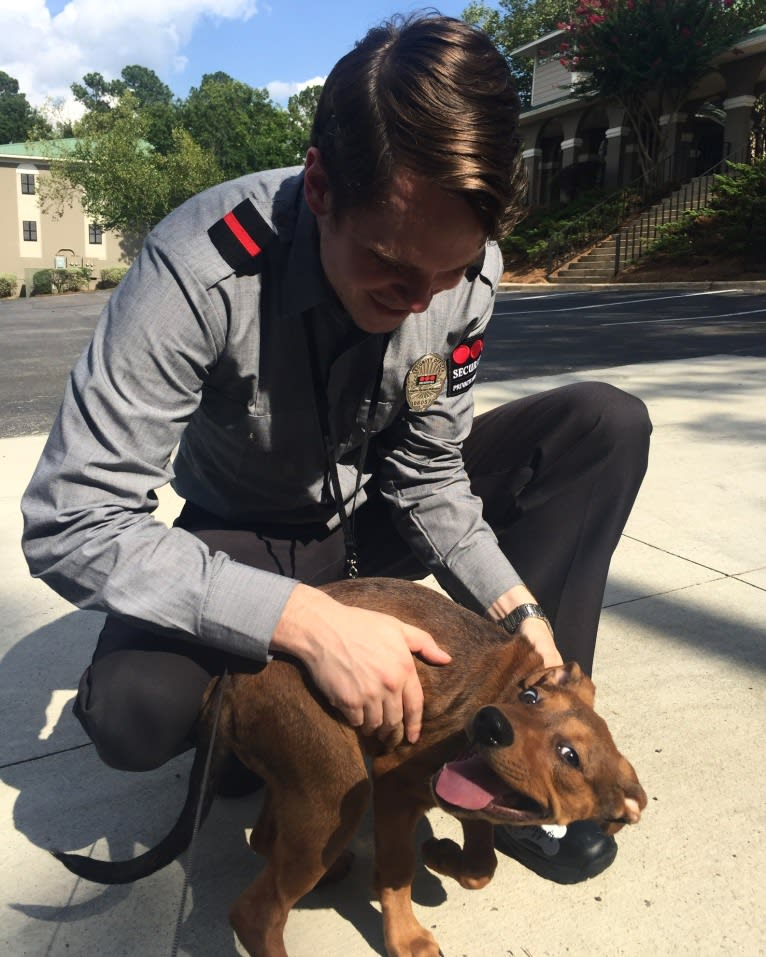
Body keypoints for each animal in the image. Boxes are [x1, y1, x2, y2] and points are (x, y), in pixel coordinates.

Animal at [54, 580, 648, 952]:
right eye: (529, 698)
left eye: (570, 756)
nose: (490, 725)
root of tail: (234, 671)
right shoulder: (394, 784)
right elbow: (399, 871)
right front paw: (406, 936)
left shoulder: (474, 799)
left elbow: (483, 865)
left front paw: (444, 856)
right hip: (343, 785)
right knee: (256, 914)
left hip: (309, 773)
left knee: (265, 838)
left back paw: (330, 866)